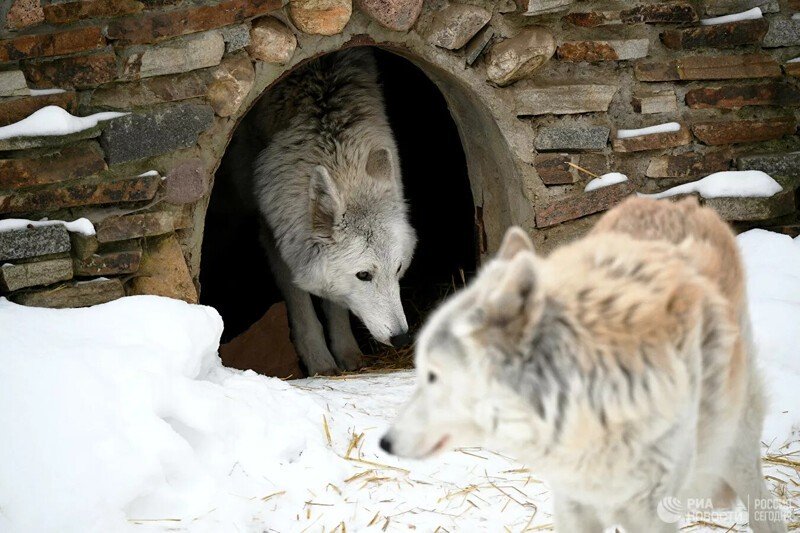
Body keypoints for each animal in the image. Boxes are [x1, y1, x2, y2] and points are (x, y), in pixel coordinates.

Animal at [228, 48, 418, 374]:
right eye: (364, 275)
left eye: (398, 268)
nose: (403, 338)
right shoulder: (273, 235)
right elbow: (302, 306)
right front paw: (319, 361)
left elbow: (336, 304)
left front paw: (348, 353)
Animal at [382, 198, 788, 532]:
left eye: (432, 375)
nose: (384, 442)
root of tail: (678, 202)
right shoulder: (573, 504)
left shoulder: (650, 515)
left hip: (736, 446)